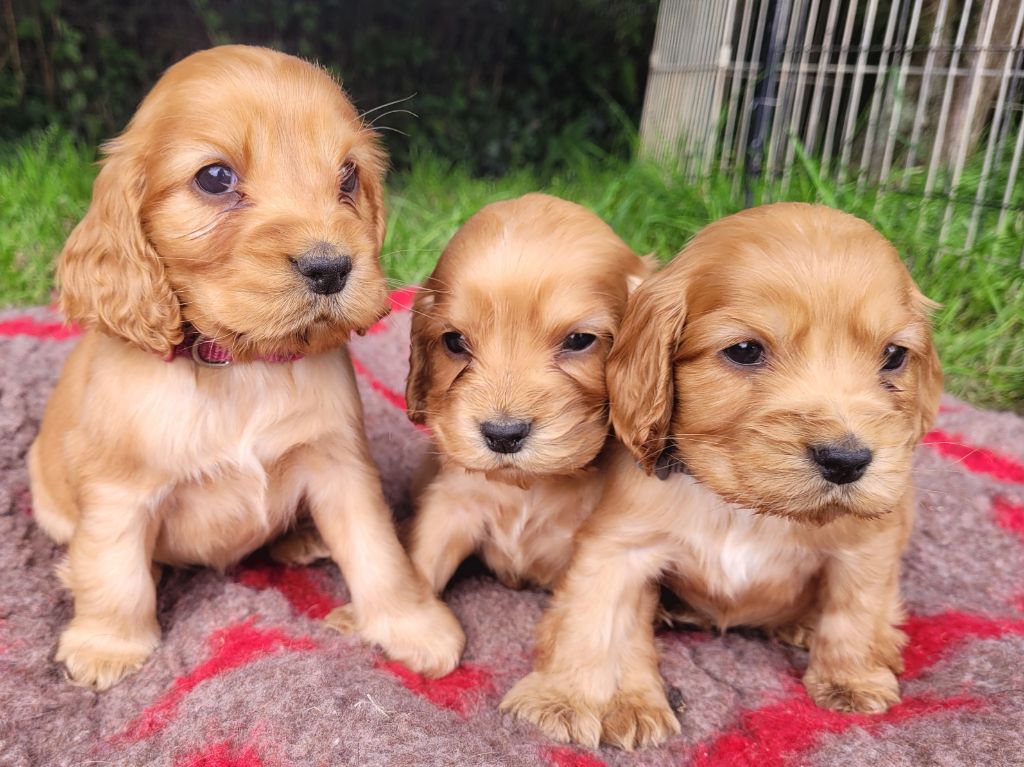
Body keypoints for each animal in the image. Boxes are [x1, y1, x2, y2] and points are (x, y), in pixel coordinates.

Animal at [27, 44, 464, 692]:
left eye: (349, 176)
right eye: (215, 178)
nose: (331, 267)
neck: (242, 366)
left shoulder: (341, 466)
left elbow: (379, 553)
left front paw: (414, 627)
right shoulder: (117, 488)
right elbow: (114, 569)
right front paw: (106, 645)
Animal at [399, 192, 647, 593]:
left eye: (579, 340)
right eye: (454, 341)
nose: (503, 435)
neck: (529, 487)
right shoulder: (453, 503)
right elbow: (421, 560)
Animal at [499, 201, 937, 749]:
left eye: (894, 355)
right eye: (745, 350)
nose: (846, 461)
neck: (742, 508)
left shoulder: (868, 541)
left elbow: (856, 608)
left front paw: (851, 679)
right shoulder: (621, 544)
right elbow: (593, 617)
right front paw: (566, 699)